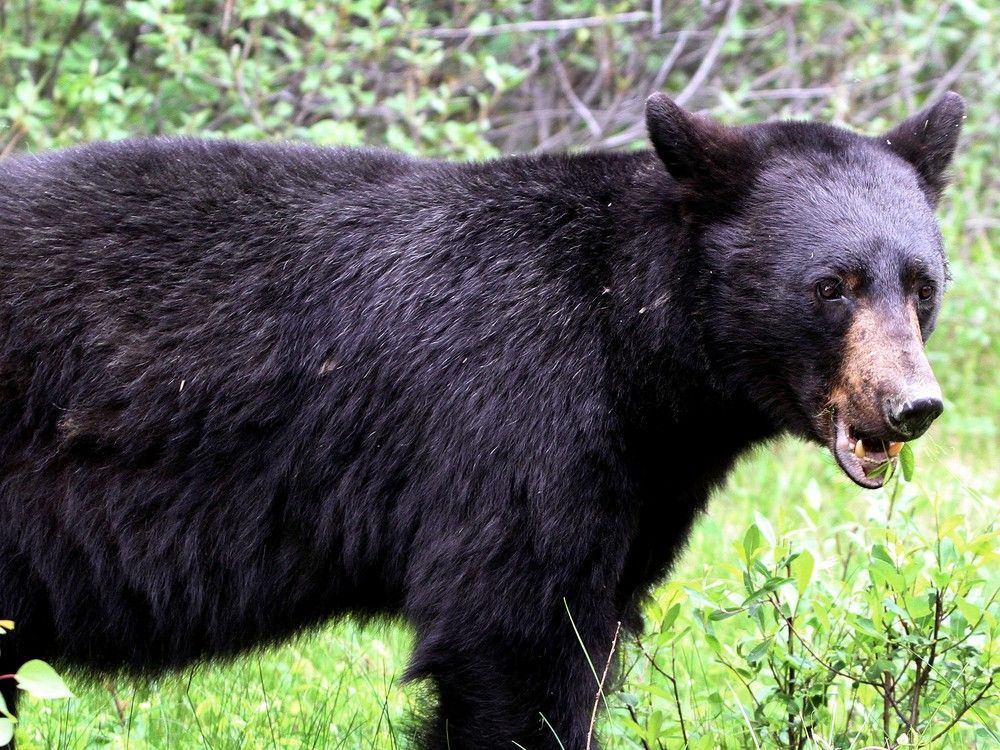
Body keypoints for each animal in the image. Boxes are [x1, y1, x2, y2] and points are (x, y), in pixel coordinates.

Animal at [0, 95, 960, 750]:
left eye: (921, 283)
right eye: (831, 286)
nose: (911, 405)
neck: (636, 340)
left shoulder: (642, 478)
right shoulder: (519, 419)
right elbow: (513, 639)